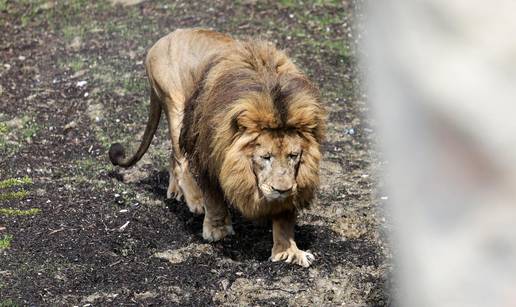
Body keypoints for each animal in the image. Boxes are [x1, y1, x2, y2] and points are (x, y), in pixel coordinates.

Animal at [108, 29, 324, 270]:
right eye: (265, 157)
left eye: (294, 156)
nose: (282, 190)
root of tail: (162, 40)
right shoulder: (207, 153)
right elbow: (213, 197)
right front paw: (217, 229)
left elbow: (285, 217)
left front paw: (288, 251)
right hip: (176, 106)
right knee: (181, 161)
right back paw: (195, 200)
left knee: (172, 156)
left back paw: (174, 191)